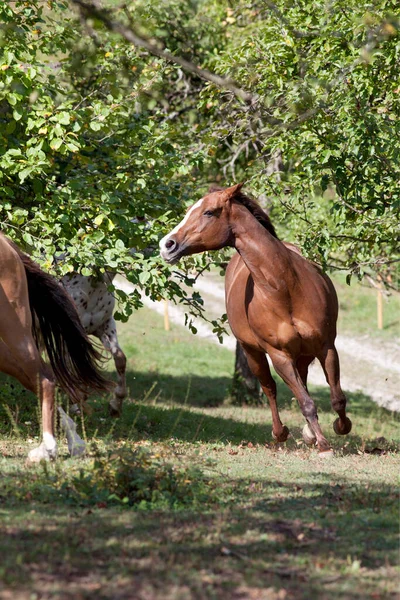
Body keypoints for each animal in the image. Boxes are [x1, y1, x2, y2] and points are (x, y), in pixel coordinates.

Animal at [0, 232, 111, 462]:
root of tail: (8, 244)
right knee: (37, 377)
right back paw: (74, 443)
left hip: (14, 329)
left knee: (45, 377)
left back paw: (49, 448)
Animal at [160, 183, 354, 454]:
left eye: (208, 212)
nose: (167, 245)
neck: (285, 288)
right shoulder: (279, 355)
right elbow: (304, 401)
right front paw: (323, 444)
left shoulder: (326, 347)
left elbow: (337, 398)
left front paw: (339, 428)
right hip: (254, 354)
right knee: (270, 387)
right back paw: (281, 432)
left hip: (304, 354)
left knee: (303, 382)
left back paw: (307, 433)